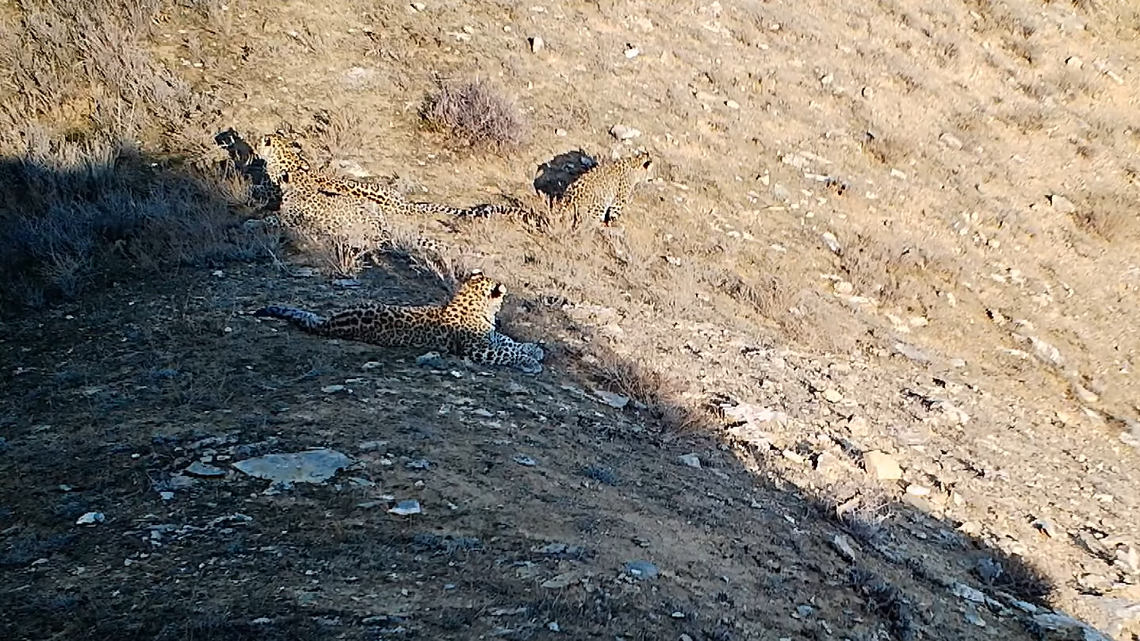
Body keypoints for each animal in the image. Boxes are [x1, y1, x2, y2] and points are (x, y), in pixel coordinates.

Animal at [252, 270, 545, 374]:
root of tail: (329, 322)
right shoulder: (479, 349)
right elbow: (507, 352)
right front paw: (531, 361)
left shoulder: (491, 338)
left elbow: (510, 341)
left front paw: (534, 350)